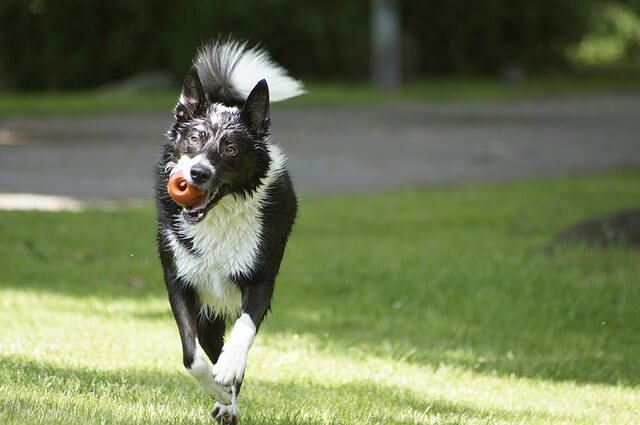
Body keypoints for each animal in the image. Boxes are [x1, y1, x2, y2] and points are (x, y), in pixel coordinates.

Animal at [156, 38, 304, 422]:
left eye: (231, 148)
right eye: (195, 138)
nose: (197, 174)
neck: (218, 215)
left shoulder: (260, 279)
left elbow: (244, 330)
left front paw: (228, 371)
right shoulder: (180, 282)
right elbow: (191, 356)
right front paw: (217, 389)